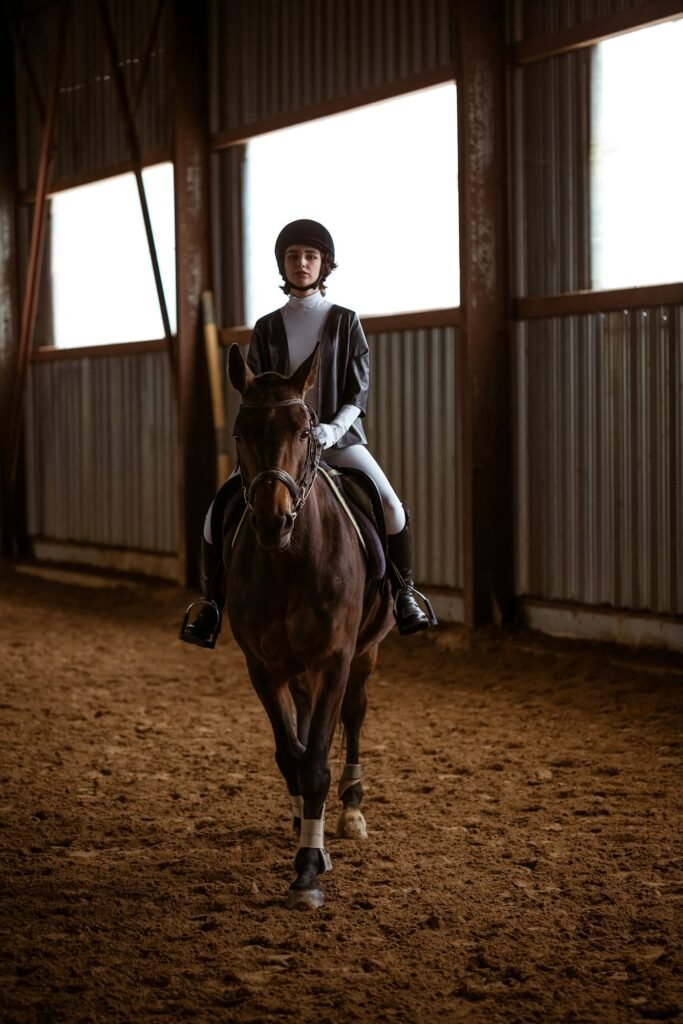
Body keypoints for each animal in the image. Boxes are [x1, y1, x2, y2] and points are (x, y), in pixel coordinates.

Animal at [224, 344, 395, 913]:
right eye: (240, 432)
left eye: (304, 431)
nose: (272, 521)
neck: (291, 559)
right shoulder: (262, 667)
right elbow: (290, 755)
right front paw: (307, 841)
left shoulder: (334, 660)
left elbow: (317, 761)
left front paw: (307, 872)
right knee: (301, 724)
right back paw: (303, 817)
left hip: (365, 655)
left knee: (355, 715)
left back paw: (350, 810)